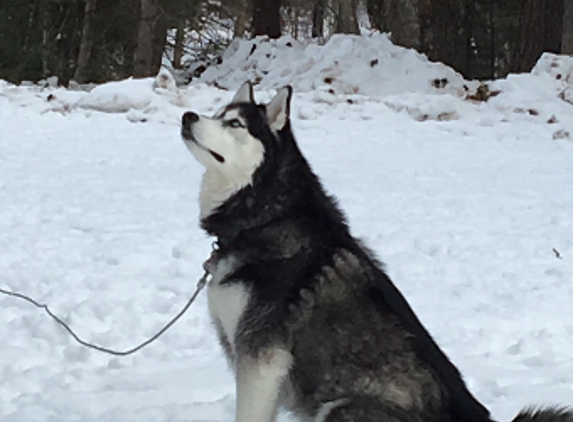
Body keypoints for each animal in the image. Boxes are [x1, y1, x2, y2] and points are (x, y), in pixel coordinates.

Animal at [180, 82, 572, 422]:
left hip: (339, 408)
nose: (188, 116)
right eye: (218, 113)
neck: (266, 216)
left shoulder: (261, 359)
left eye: (234, 123)